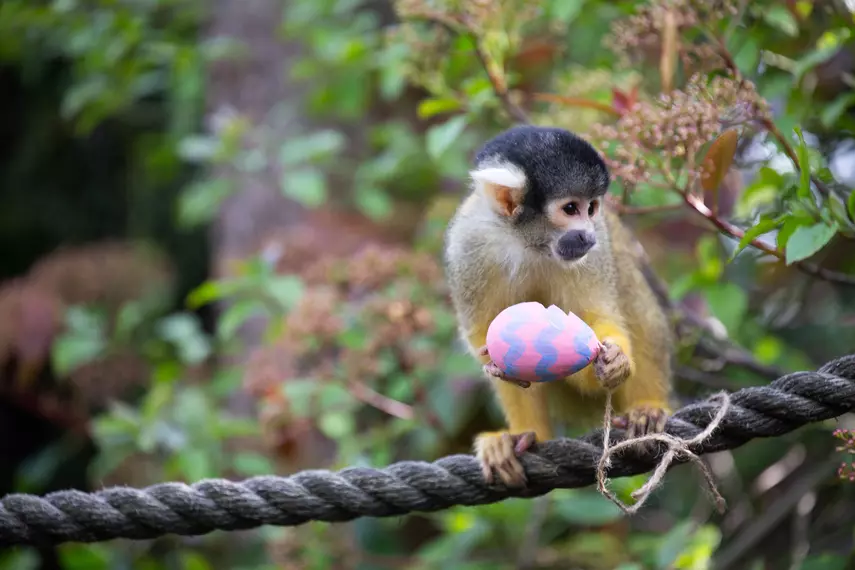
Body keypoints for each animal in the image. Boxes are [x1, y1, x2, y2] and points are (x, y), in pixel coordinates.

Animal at [442, 124, 676, 484]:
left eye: (591, 208)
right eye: (570, 209)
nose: (588, 235)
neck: (527, 242)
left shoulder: (594, 252)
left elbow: (599, 317)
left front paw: (615, 360)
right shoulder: (467, 246)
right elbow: (484, 334)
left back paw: (647, 408)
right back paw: (524, 436)